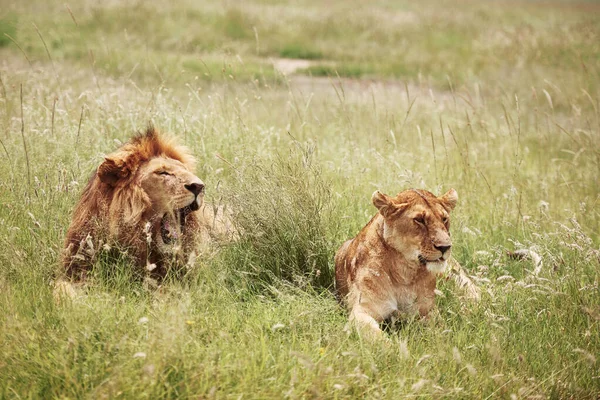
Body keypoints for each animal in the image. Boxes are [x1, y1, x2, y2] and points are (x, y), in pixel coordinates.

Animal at [336, 189, 458, 336]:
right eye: (419, 220)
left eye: (444, 219)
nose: (445, 247)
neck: (405, 273)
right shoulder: (361, 311)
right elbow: (378, 338)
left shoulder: (428, 311)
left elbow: (444, 332)